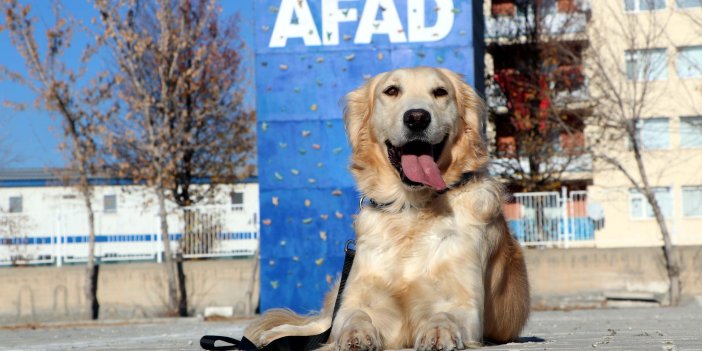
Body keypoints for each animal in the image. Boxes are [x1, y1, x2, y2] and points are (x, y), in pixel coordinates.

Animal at [245, 67, 532, 350]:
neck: (411, 207)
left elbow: (446, 313)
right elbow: (353, 317)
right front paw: (355, 334)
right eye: (391, 90)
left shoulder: (465, 302)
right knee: (318, 325)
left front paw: (438, 330)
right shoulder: (358, 299)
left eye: (440, 92)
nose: (417, 117)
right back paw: (274, 334)